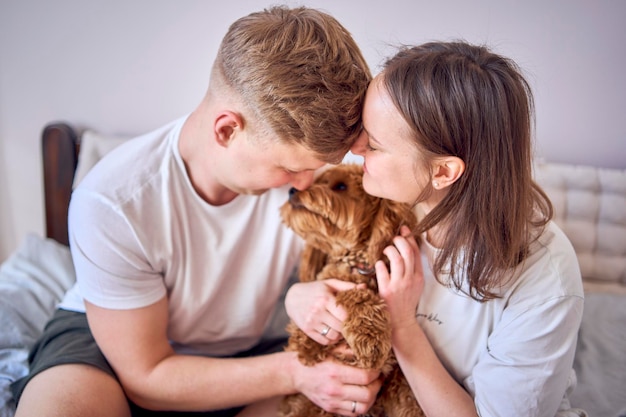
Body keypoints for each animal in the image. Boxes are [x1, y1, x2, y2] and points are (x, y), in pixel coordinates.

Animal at [280, 163, 422, 416]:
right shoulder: (304, 340)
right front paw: (371, 339)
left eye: (341, 187)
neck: (356, 264)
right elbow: (354, 292)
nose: (292, 190)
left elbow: (408, 398)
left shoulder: (393, 376)